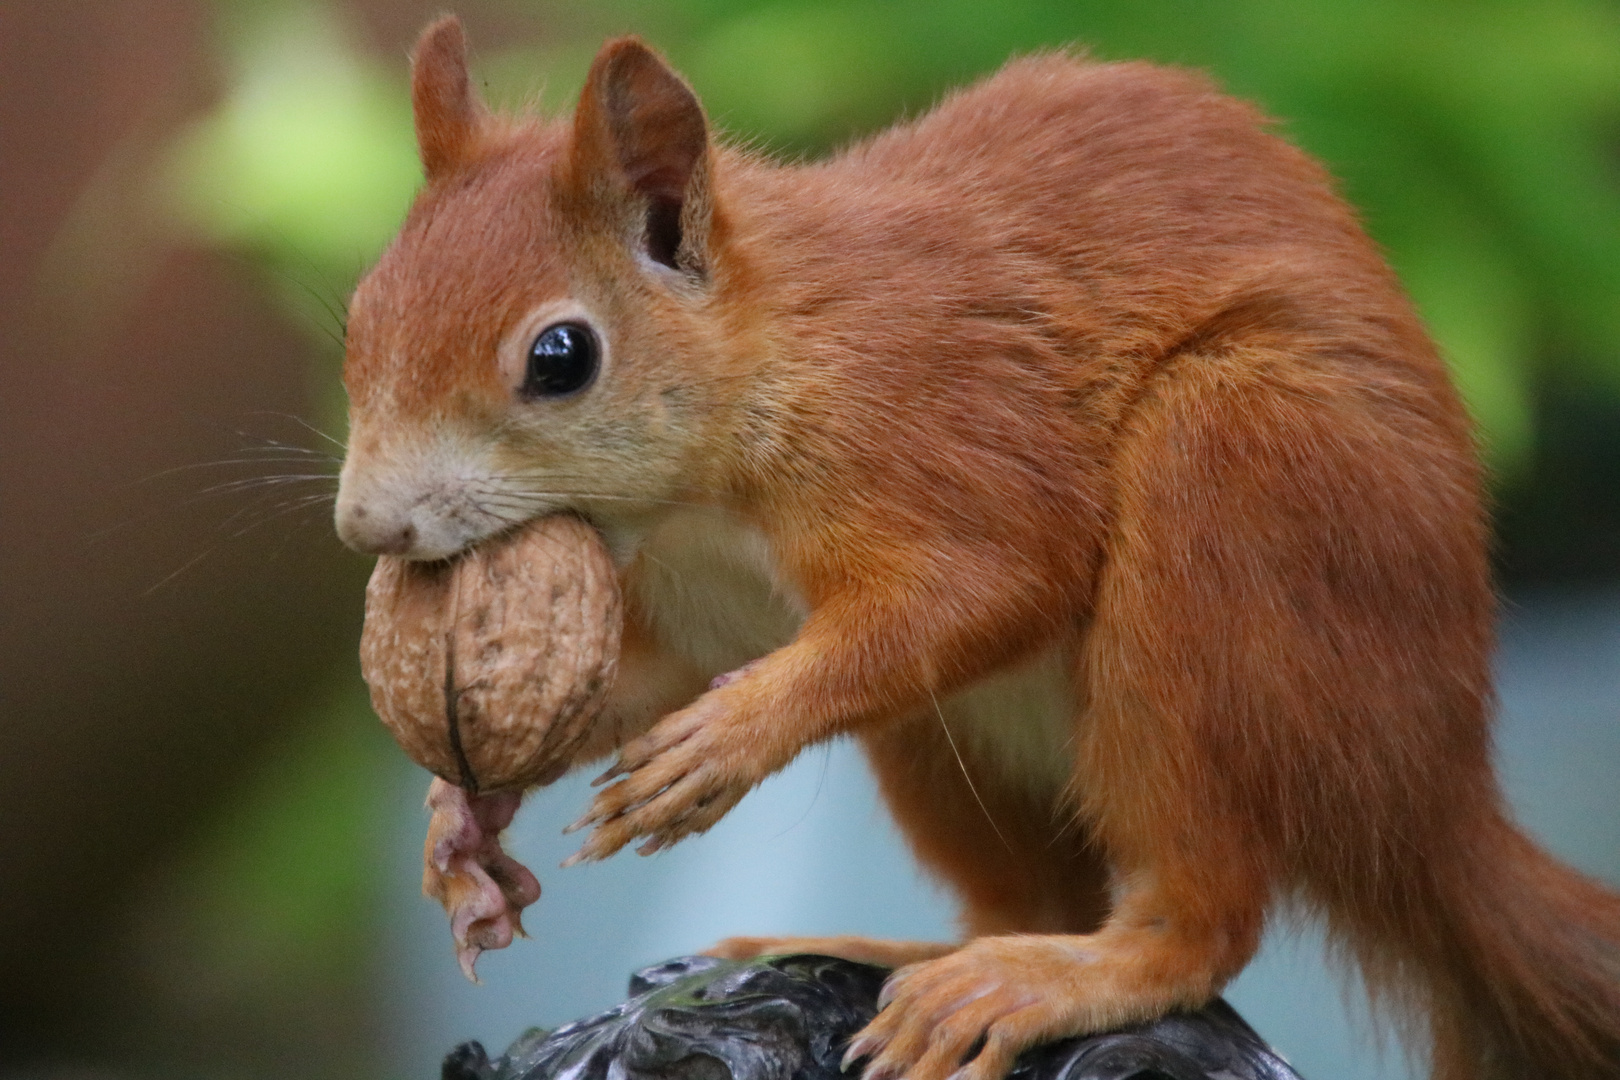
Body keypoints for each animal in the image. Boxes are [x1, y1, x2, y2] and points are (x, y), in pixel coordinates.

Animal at [335, 16, 1620, 1080]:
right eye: (359, 314)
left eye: (561, 357)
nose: (366, 525)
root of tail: (1436, 793)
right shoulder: (696, 603)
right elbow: (636, 683)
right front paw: (461, 818)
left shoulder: (944, 430)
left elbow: (994, 582)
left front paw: (728, 739)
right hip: (950, 747)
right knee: (1033, 888)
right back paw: (893, 951)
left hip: (1239, 509)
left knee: (1200, 918)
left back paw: (1062, 976)